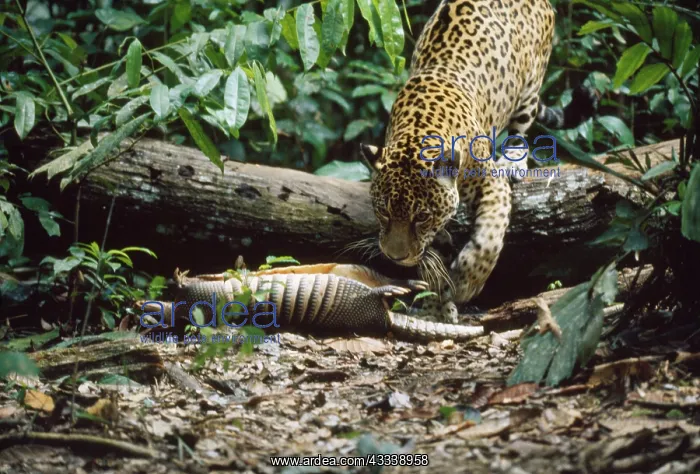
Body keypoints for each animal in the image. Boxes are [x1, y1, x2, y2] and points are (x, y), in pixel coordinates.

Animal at [359, 0, 598, 323]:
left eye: (421, 217)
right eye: (383, 211)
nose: (395, 257)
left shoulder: (491, 182)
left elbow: (488, 240)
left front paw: (465, 283)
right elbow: (430, 259)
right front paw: (435, 307)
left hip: (529, 86)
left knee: (522, 127)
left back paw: (514, 160)